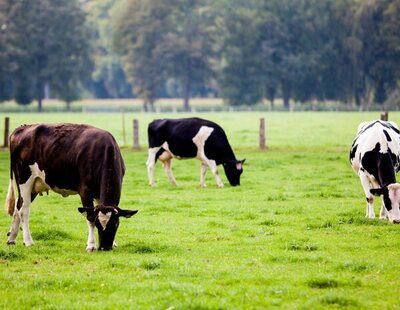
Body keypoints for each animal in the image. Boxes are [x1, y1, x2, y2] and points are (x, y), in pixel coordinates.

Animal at [3, 122, 139, 251]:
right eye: (98, 224)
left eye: (115, 224)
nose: (104, 247)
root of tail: (22, 128)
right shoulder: (85, 191)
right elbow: (89, 217)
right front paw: (91, 245)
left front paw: (113, 243)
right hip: (24, 179)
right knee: (23, 210)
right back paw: (28, 241)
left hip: (34, 185)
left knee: (17, 205)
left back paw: (11, 238)